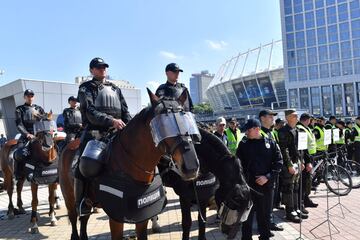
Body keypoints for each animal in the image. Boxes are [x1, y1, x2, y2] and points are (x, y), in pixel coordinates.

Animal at [59, 89, 200, 240]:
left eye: (189, 122)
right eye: (163, 126)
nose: (191, 167)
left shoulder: (142, 216)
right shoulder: (115, 218)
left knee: (83, 220)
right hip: (69, 198)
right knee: (74, 219)